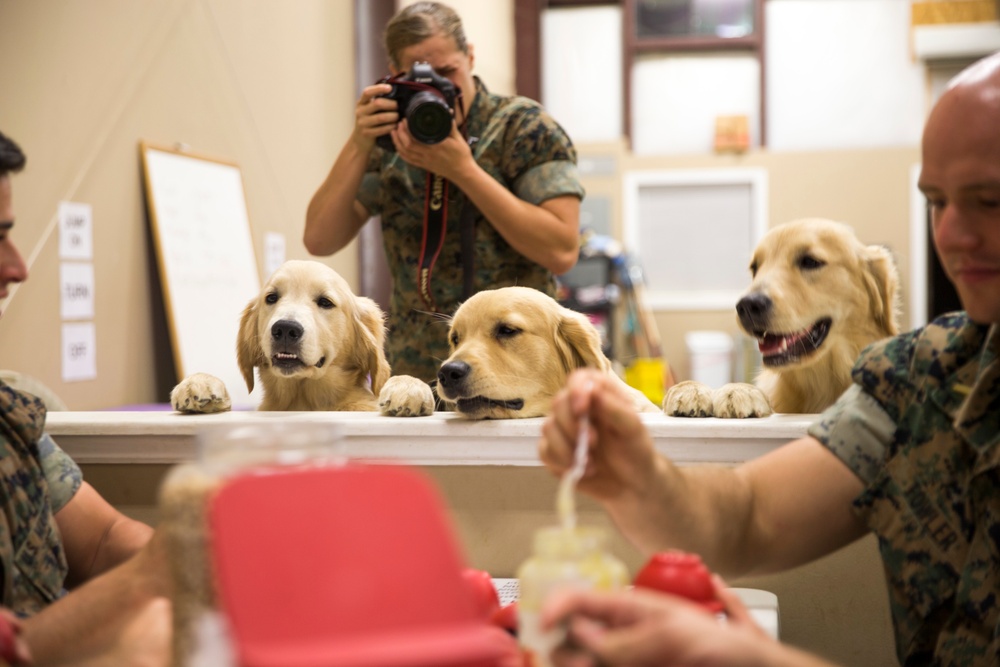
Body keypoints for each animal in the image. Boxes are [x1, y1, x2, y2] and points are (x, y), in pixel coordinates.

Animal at [171, 260, 434, 418]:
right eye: (271, 298)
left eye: (325, 302)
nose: (285, 329)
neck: (305, 398)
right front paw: (200, 384)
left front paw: (409, 387)